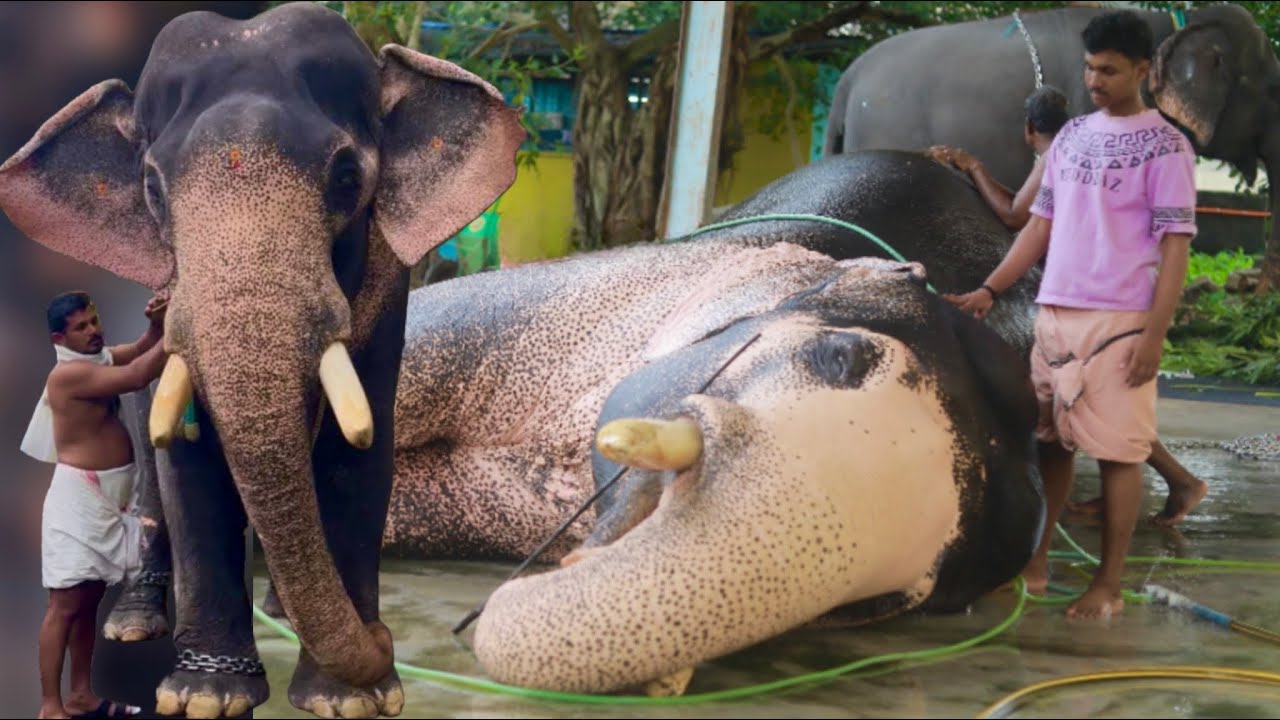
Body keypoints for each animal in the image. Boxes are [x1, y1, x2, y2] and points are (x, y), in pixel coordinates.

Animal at [0, 2, 523, 718]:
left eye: (347, 179)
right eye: (152, 190)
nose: (384, 639)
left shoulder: (388, 294)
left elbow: (357, 456)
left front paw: (353, 699)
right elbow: (187, 457)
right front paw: (205, 696)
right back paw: (133, 624)